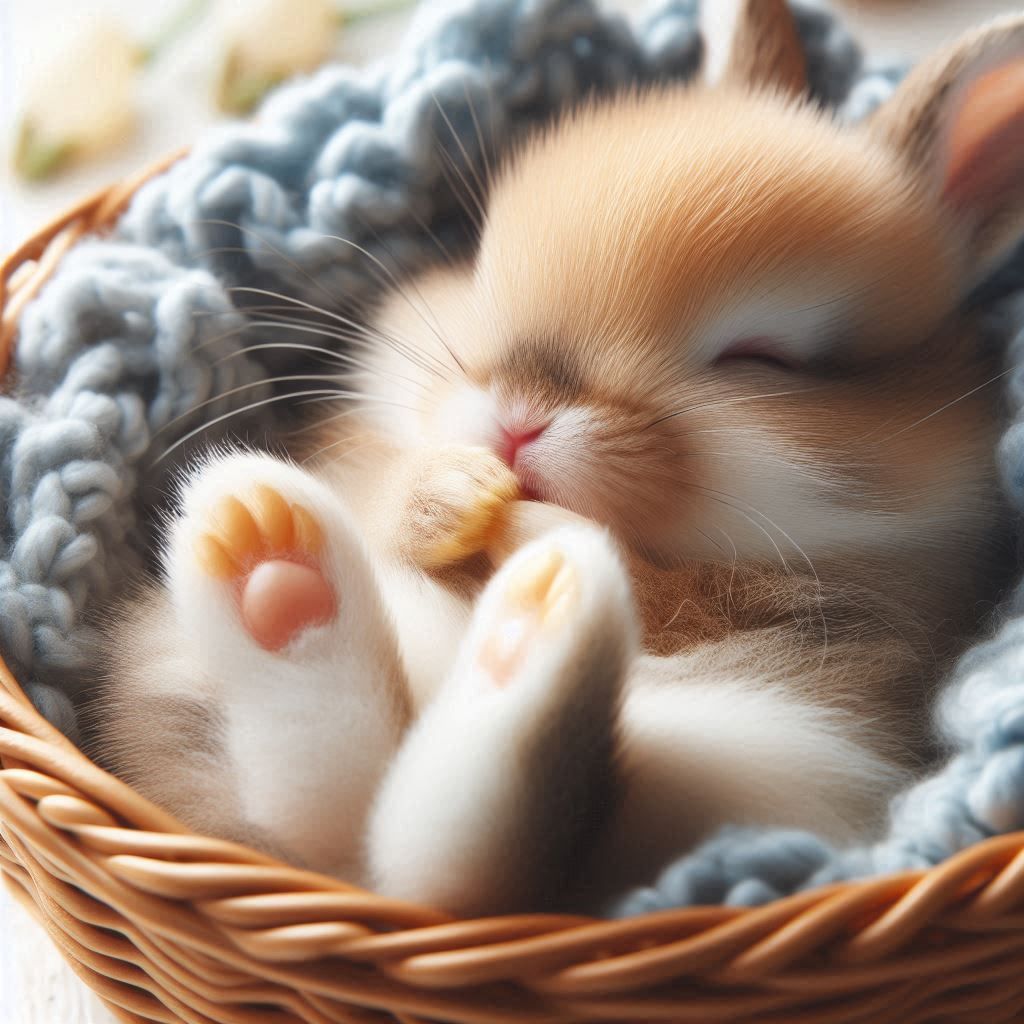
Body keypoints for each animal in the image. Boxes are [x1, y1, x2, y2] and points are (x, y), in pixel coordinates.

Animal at [91, 0, 1024, 915]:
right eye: (481, 267)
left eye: (760, 359)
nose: (518, 424)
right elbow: (396, 495)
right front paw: (463, 497)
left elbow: (663, 593)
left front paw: (528, 522)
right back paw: (275, 562)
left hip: (762, 753)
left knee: (477, 849)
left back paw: (528, 613)